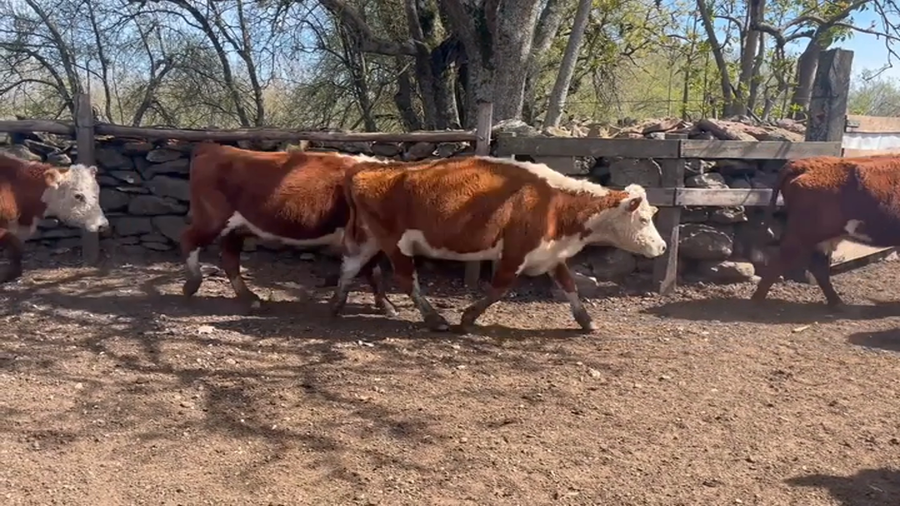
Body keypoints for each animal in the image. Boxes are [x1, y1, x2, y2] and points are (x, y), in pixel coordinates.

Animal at [179, 142, 396, 315]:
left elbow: (374, 271)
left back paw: (250, 298)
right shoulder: (363, 237)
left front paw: (386, 305)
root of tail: (213, 147)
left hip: (236, 229)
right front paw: (385, 305)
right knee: (189, 239)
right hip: (212, 219)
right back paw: (192, 284)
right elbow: (370, 270)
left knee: (230, 259)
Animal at [328, 155, 668, 332]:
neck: (555, 202)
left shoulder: (551, 253)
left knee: (349, 266)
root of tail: (369, 168)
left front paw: (587, 321)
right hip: (395, 244)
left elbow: (569, 285)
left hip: (369, 239)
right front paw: (467, 318)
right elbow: (499, 288)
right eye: (643, 219)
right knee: (405, 278)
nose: (663, 247)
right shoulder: (515, 252)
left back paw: (337, 304)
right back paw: (435, 319)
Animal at [750, 154, 900, 307]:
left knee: (818, 266)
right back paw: (756, 302)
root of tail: (803, 163)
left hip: (820, 237)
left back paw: (837, 303)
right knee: (780, 262)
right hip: (802, 235)